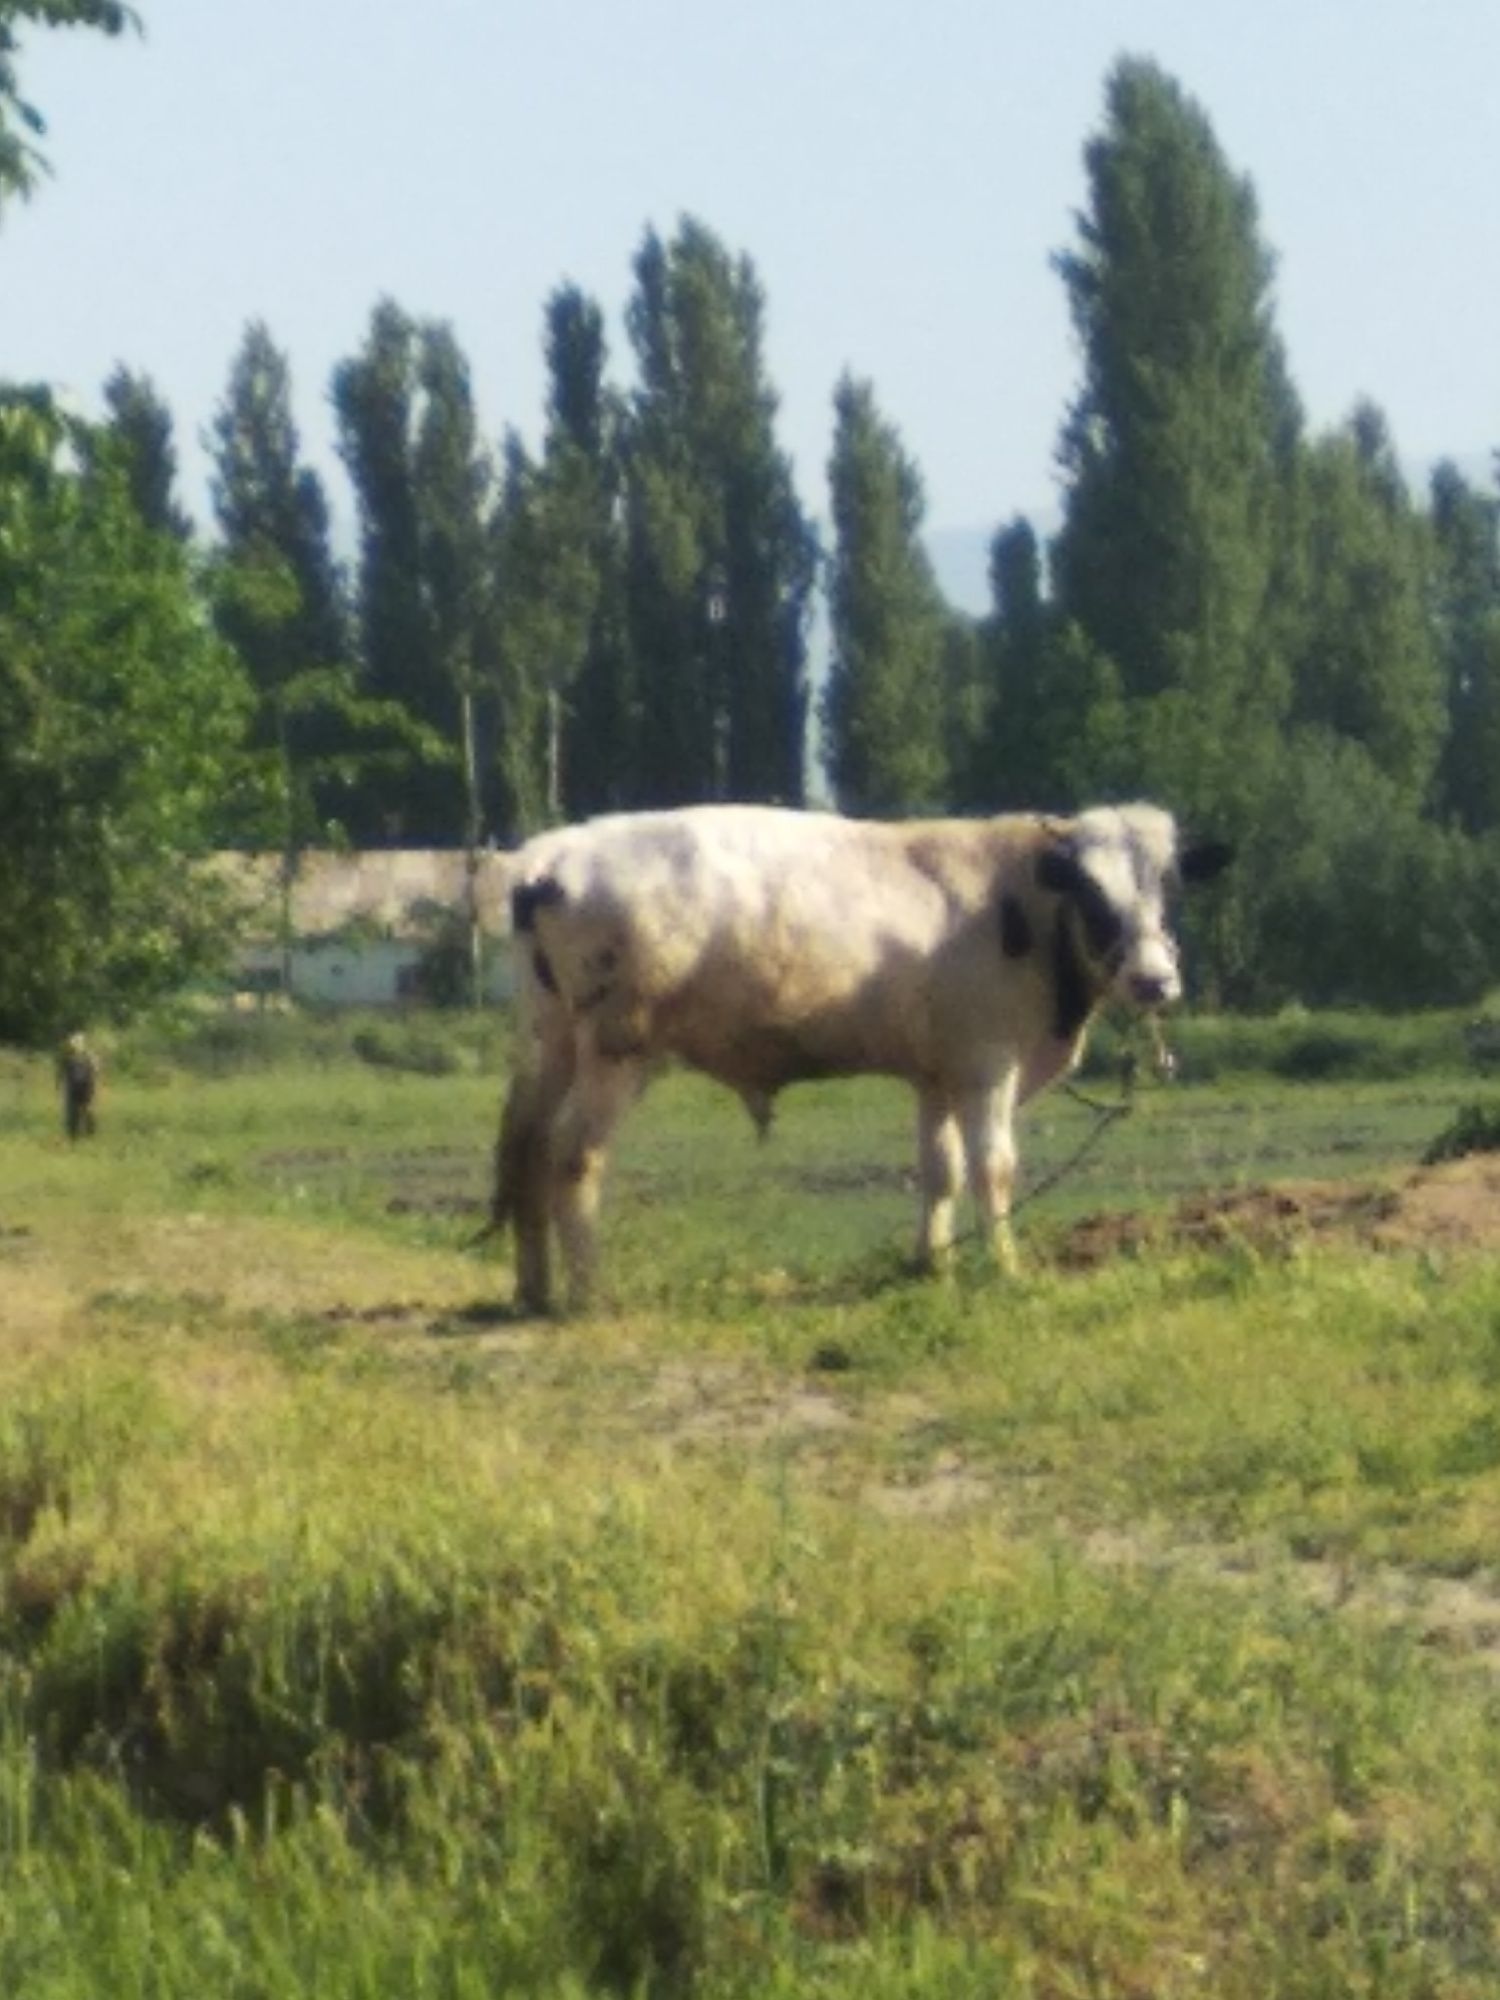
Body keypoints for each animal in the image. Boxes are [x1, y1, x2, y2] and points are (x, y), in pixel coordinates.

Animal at [494, 796, 1232, 1312]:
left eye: (1167, 889)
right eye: (1091, 892)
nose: (1154, 980)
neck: (1016, 902)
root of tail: (550, 857)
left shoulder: (938, 1075)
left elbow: (941, 1171)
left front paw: (933, 1264)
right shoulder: (986, 1067)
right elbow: (992, 1169)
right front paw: (1005, 1268)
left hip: (553, 1045)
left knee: (529, 1146)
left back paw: (535, 1288)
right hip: (616, 1054)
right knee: (572, 1154)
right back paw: (589, 1291)